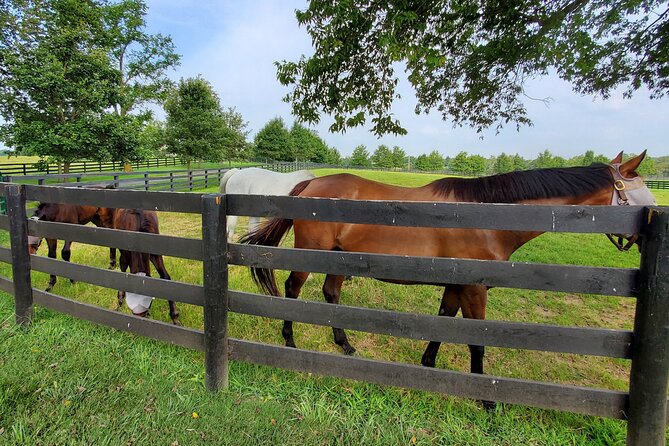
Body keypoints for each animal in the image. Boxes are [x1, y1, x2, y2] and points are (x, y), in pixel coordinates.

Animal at [240, 152, 655, 408]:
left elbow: (443, 320)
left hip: (339, 259)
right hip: (311, 255)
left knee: (330, 295)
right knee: (292, 291)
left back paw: (347, 347)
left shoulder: (456, 285)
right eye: (642, 194)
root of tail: (309, 185)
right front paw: (486, 399)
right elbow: (476, 341)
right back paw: (290, 344)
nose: (647, 231)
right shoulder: (474, 288)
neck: (488, 218)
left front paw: (428, 364)